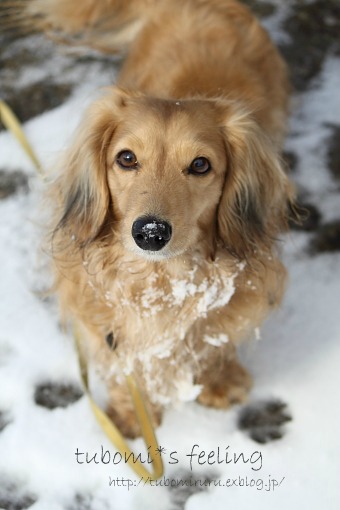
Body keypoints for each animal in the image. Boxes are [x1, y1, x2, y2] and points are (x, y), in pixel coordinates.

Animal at [17, 0, 298, 438]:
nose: (150, 233)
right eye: (126, 158)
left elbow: (216, 337)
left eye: (200, 165)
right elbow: (124, 364)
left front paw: (220, 380)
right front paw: (133, 415)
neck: (162, 281)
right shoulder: (105, 320)